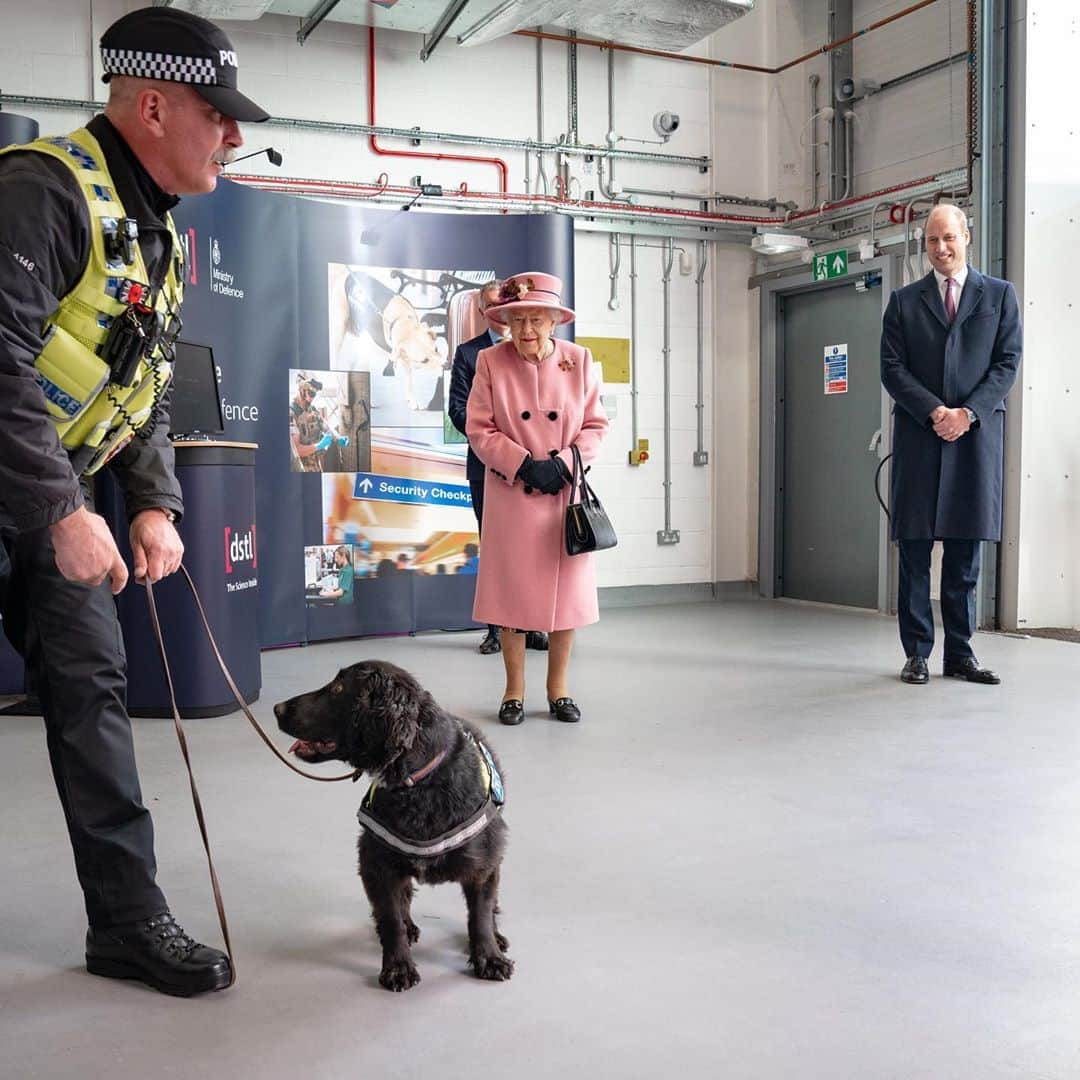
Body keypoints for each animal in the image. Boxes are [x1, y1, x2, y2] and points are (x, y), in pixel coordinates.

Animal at [272, 656, 511, 989]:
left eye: (338, 689)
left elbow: (480, 916)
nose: (277, 708)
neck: (420, 784)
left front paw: (488, 956)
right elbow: (391, 918)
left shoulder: (483, 867)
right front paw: (398, 966)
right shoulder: (377, 864)